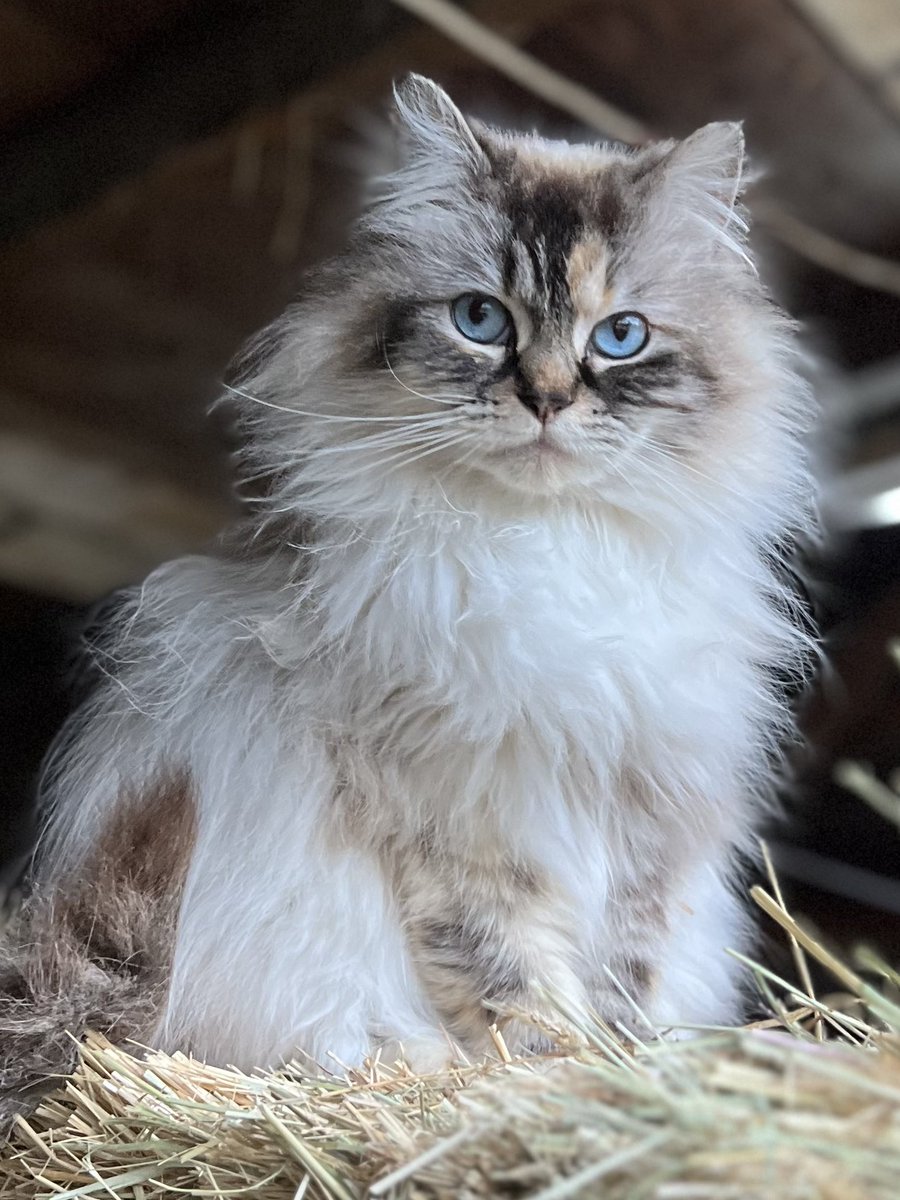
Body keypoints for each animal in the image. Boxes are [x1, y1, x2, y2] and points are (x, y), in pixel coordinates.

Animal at [0, 72, 816, 1104]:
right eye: (482, 320)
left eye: (621, 336)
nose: (547, 399)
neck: (546, 551)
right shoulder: (465, 816)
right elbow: (521, 993)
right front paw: (552, 1080)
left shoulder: (647, 817)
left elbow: (623, 984)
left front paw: (631, 1077)